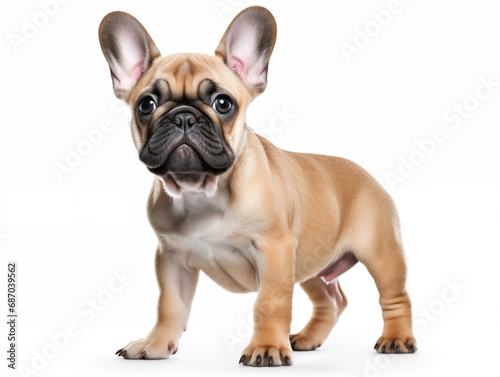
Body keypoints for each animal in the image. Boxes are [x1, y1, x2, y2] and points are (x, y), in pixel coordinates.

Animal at [98, 5, 418, 364]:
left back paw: (396, 338)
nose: (183, 116)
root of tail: (368, 175)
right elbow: (170, 304)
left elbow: (270, 302)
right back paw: (307, 338)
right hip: (309, 263)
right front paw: (154, 344)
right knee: (332, 300)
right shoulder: (171, 257)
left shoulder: (275, 250)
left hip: (380, 253)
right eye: (146, 105)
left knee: (394, 296)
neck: (201, 191)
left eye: (223, 103)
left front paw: (266, 347)